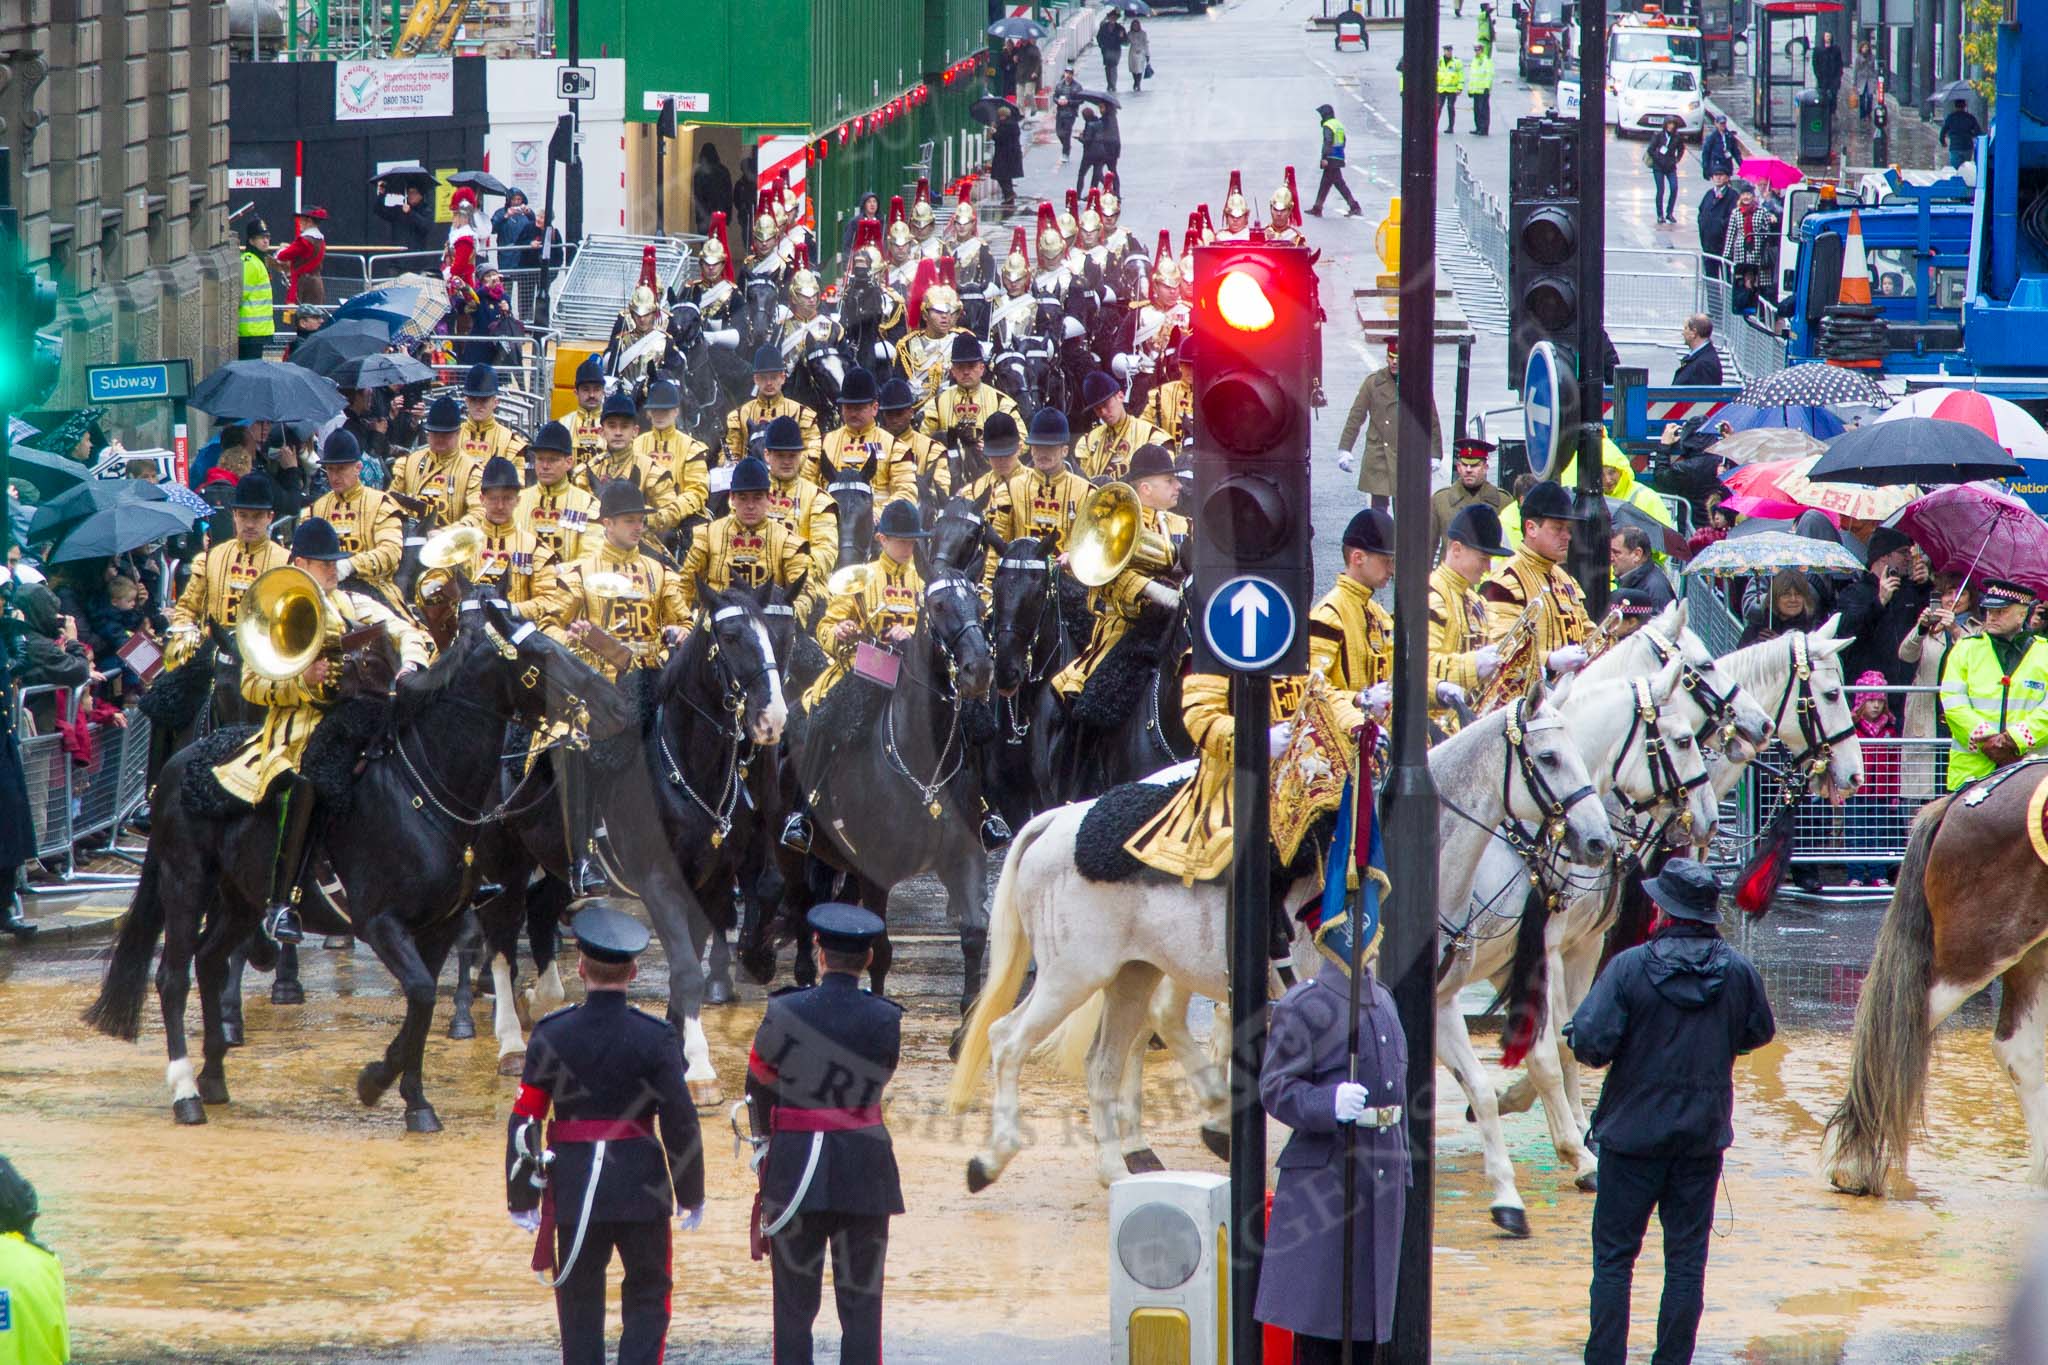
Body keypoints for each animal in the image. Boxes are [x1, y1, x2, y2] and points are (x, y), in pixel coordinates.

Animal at [84, 587, 632, 1131]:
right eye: (540, 654)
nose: (614, 704)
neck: (424, 792)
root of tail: (179, 766)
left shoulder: (437, 927)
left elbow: (422, 1003)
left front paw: (411, 1099)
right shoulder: (379, 922)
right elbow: (421, 994)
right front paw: (380, 1081)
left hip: (240, 896)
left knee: (211, 960)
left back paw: (215, 1077)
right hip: (186, 882)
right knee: (173, 976)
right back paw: (186, 1091)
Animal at [779, 571, 998, 1009]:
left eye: (980, 605)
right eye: (938, 606)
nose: (979, 669)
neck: (925, 770)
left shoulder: (964, 857)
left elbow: (973, 933)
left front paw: (968, 1014)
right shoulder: (876, 874)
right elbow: (879, 951)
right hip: (792, 855)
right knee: (800, 905)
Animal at [946, 676, 1617, 1190]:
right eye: (1549, 758)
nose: (1598, 842)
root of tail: (1061, 818)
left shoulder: (1441, 1001)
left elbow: (1478, 1084)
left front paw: (1511, 1191)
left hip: (1130, 974)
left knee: (1106, 1063)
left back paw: (1118, 1170)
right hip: (1072, 975)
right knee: (1007, 1040)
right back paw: (992, 1158)